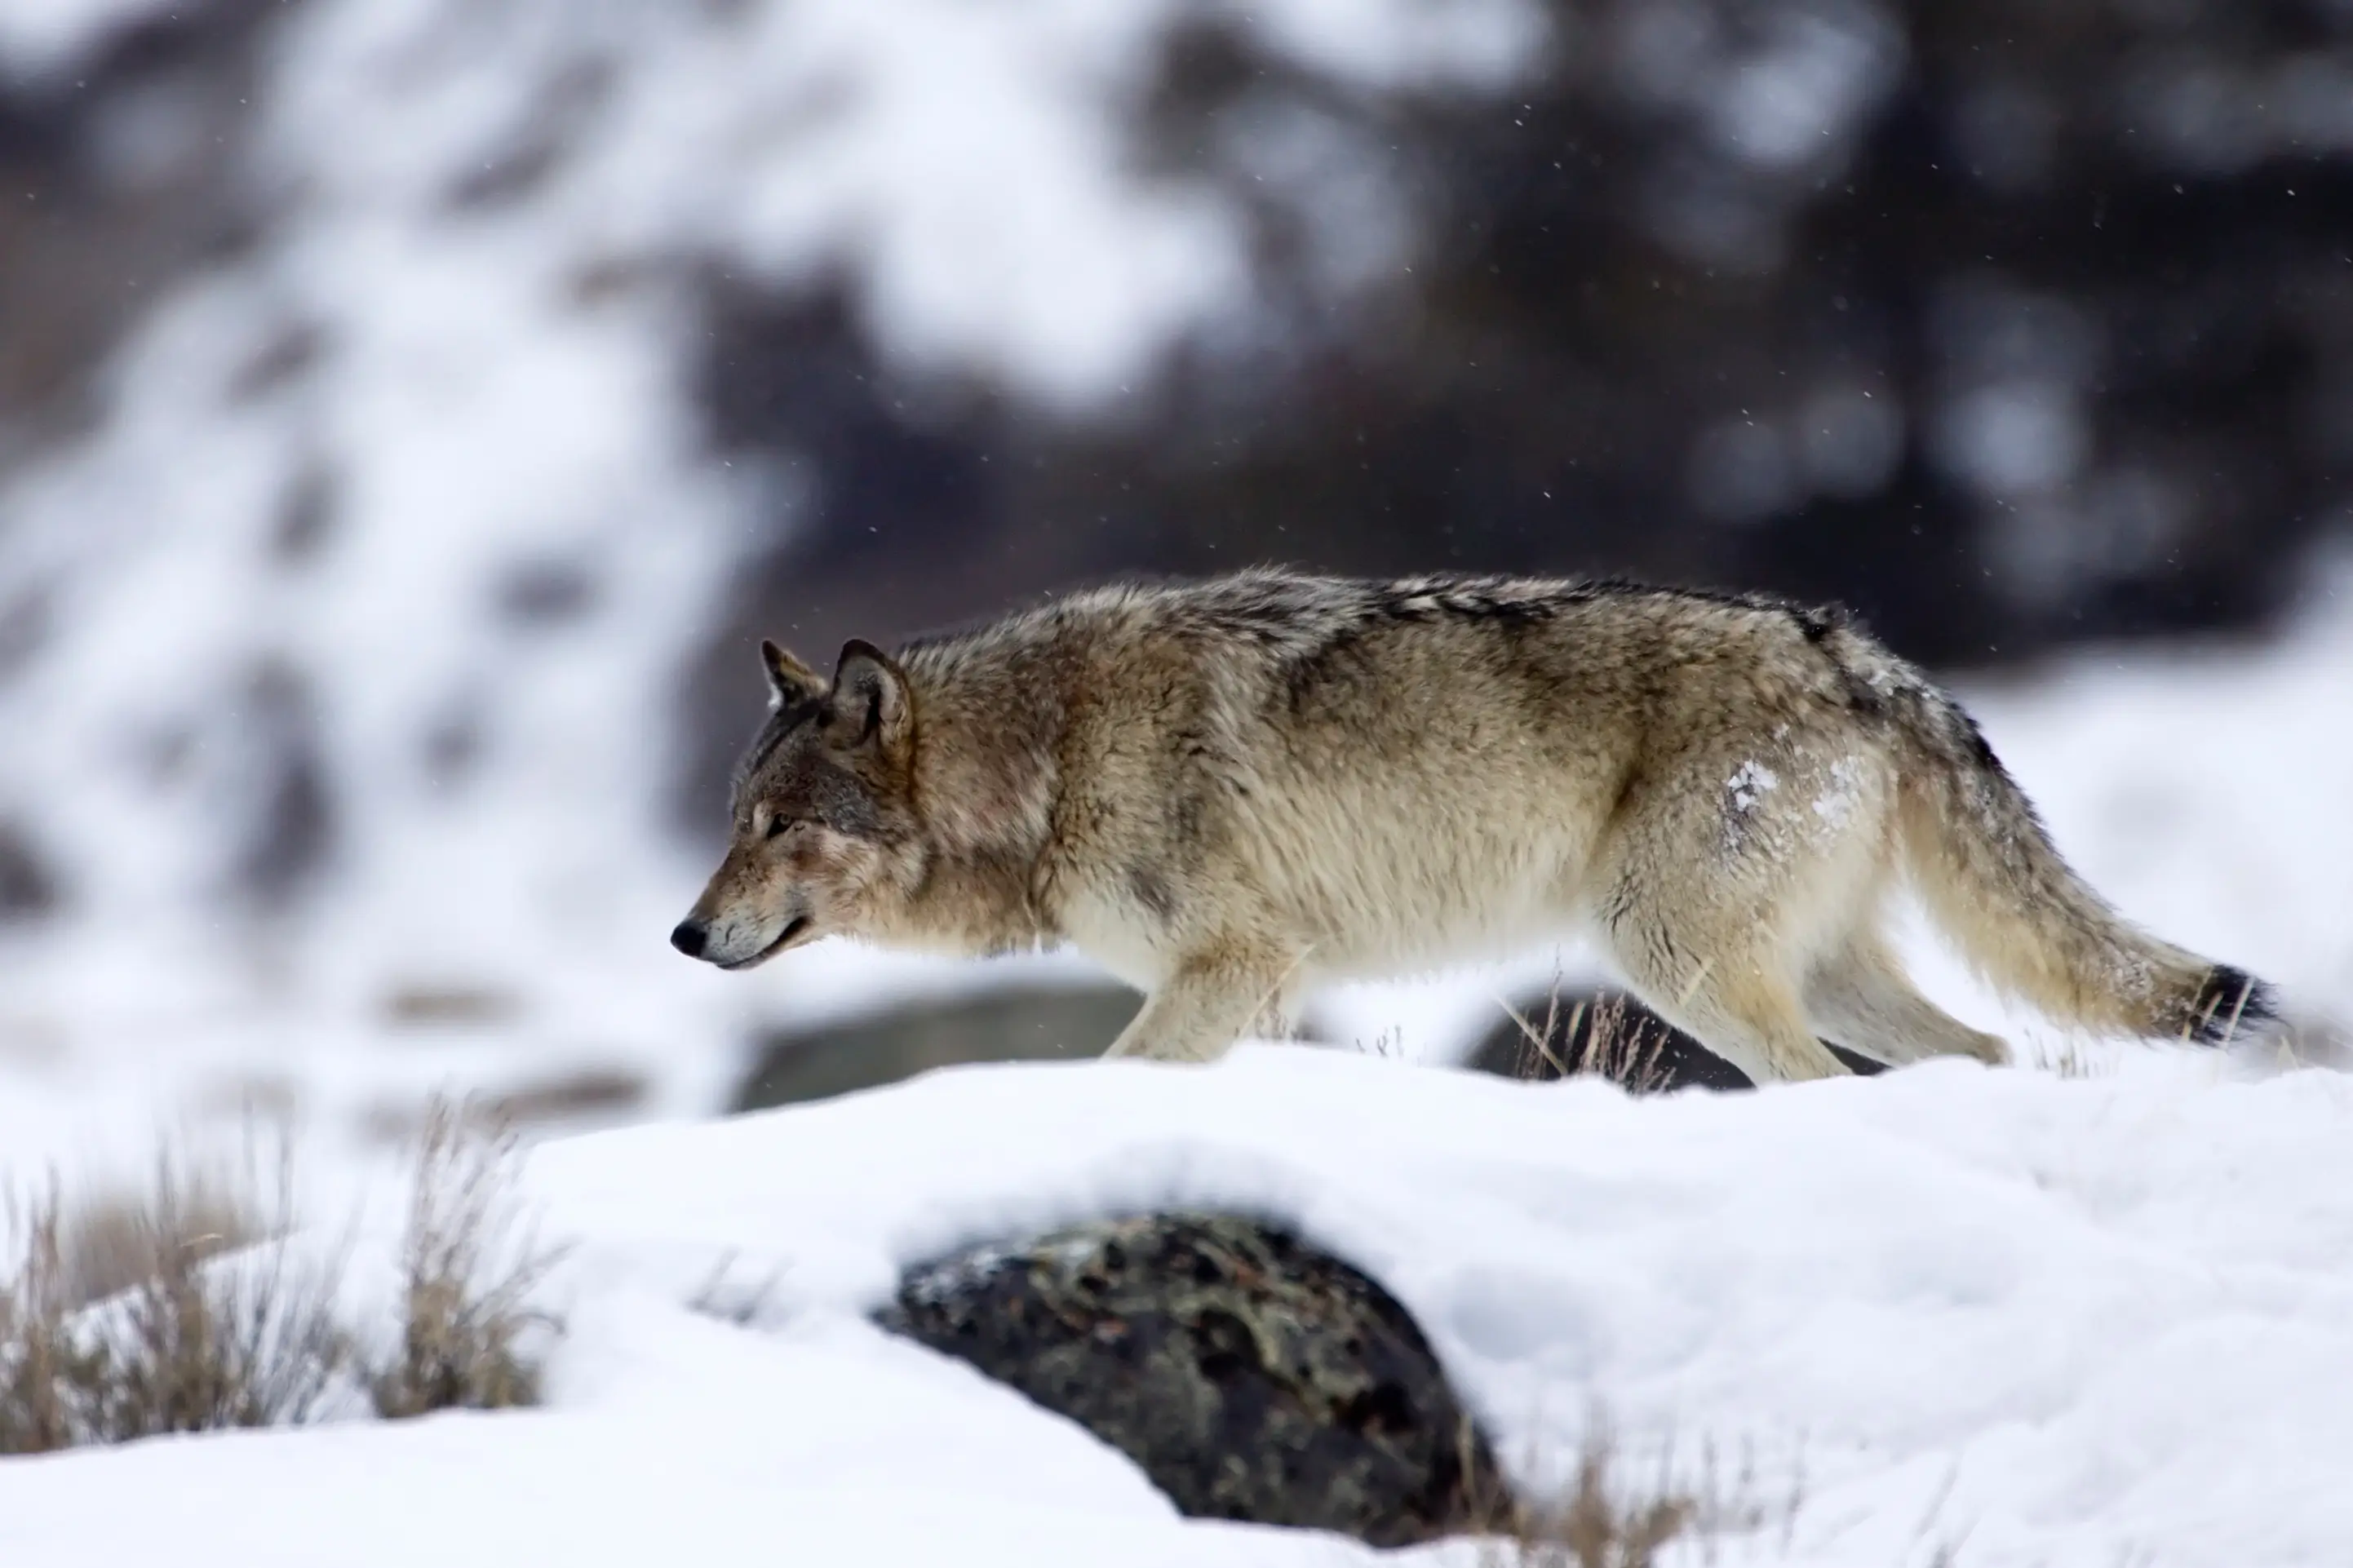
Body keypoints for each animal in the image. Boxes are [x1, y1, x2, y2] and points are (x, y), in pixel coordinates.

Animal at [670, 569, 2276, 1082]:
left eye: (774, 823)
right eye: (731, 820)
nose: (685, 934)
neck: (1050, 756)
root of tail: (1859, 653)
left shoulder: (1231, 968)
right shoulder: (1267, 992)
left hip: (1671, 956)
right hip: (1809, 968)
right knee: (1991, 1052)